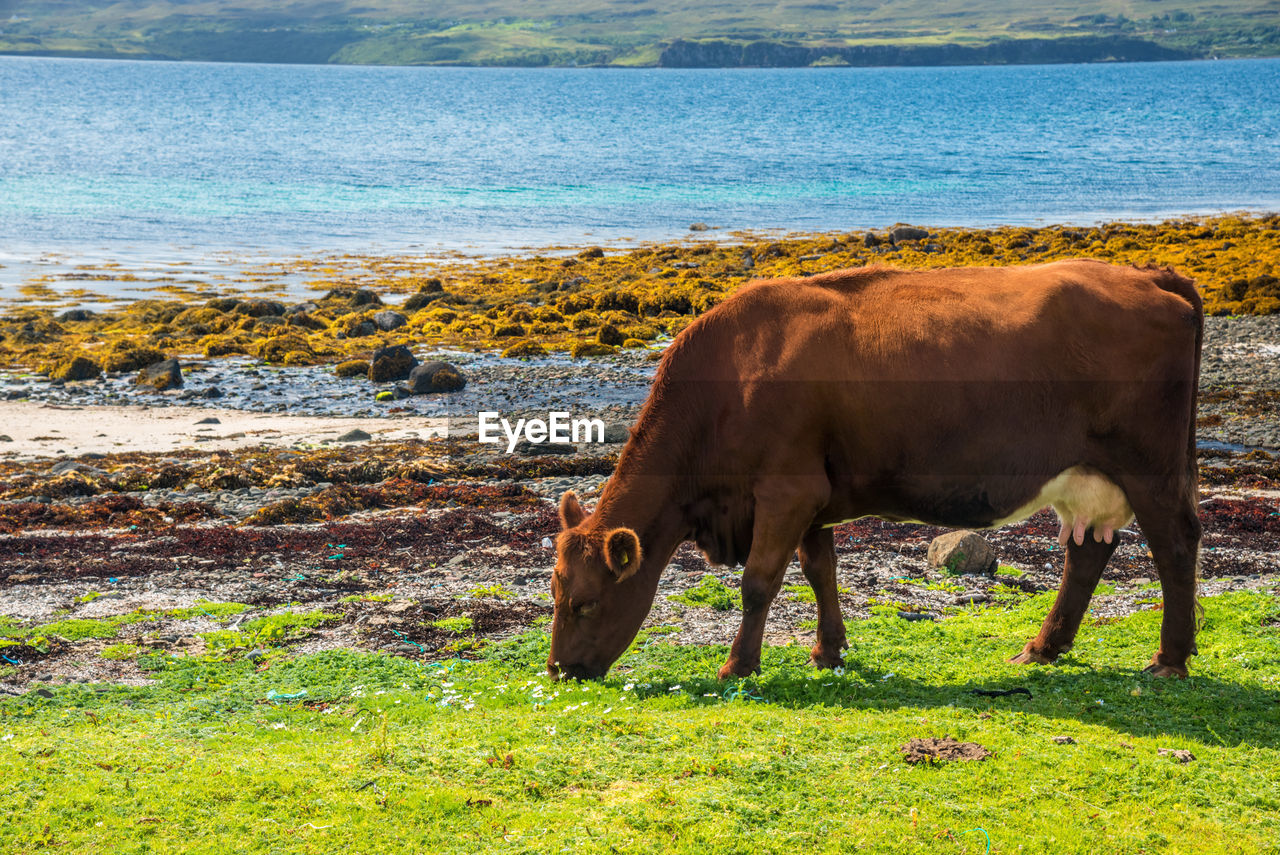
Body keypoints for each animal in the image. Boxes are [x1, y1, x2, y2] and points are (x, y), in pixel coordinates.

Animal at [547, 261, 1198, 680]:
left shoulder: (786, 489)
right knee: (1087, 553)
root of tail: (1150, 275)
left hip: (1152, 467)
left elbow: (759, 581)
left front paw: (737, 665)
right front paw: (828, 652)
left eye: (584, 603)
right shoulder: (813, 494)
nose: (559, 671)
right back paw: (1042, 648)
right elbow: (819, 572)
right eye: (554, 594)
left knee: (1175, 543)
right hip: (1087, 475)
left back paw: (1169, 659)